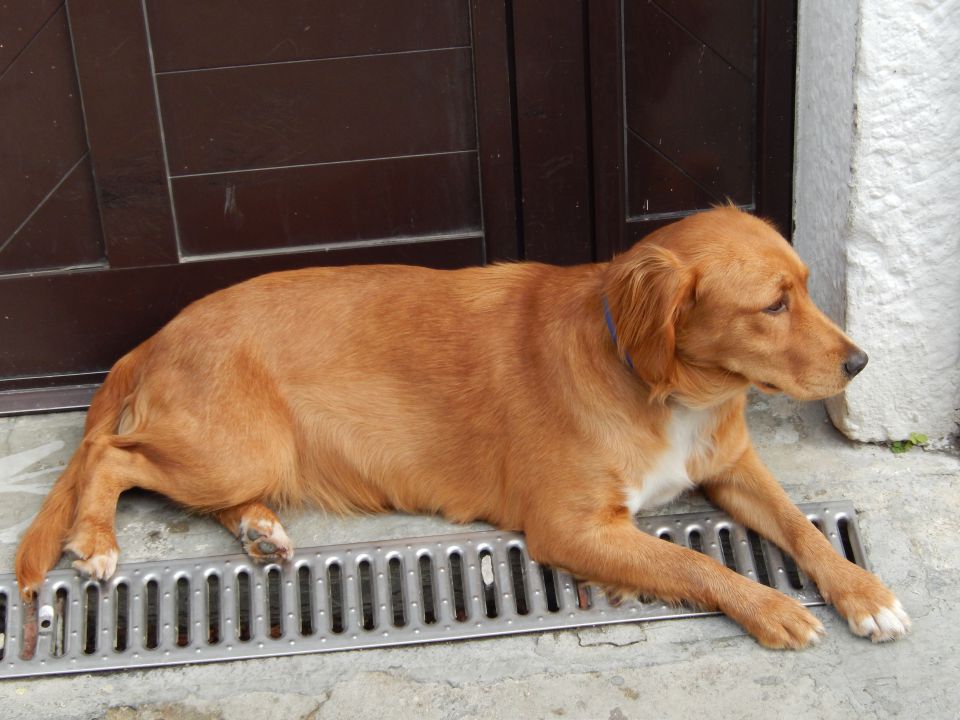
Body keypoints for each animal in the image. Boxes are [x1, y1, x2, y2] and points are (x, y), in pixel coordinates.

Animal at [18, 207, 912, 648]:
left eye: (807, 285)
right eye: (774, 305)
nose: (862, 363)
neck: (663, 388)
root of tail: (158, 335)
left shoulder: (733, 466)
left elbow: (801, 529)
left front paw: (862, 592)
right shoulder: (570, 526)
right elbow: (697, 565)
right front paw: (771, 607)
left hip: (245, 460)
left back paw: (259, 532)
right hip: (238, 447)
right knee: (108, 454)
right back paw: (95, 539)